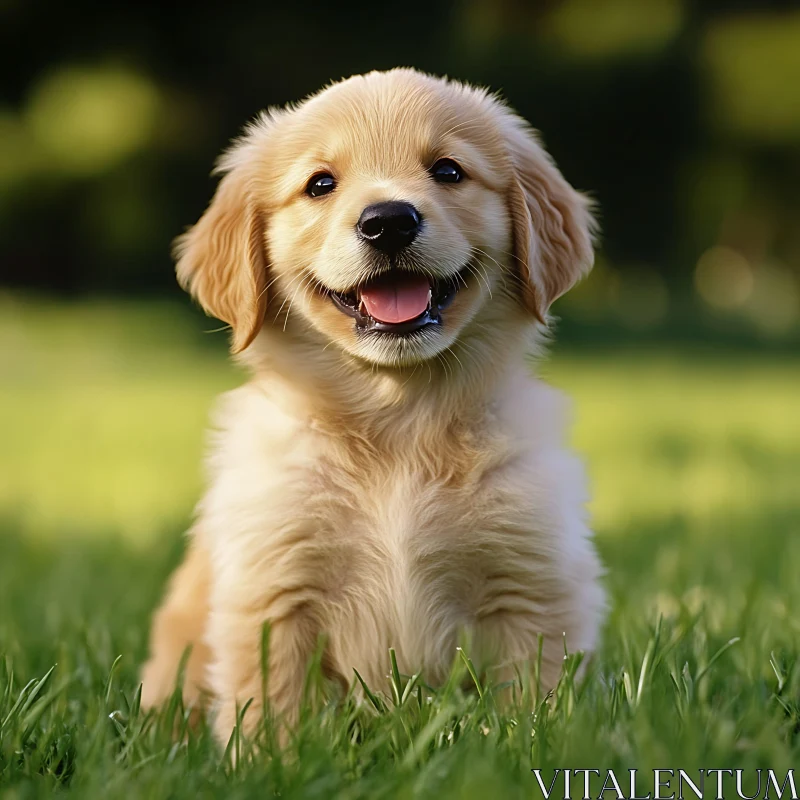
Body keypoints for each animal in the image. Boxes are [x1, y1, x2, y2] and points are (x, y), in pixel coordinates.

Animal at [141, 67, 608, 744]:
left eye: (448, 170)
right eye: (320, 184)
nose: (388, 221)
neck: (399, 424)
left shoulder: (530, 584)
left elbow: (532, 701)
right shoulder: (274, 591)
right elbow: (273, 705)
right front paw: (268, 759)